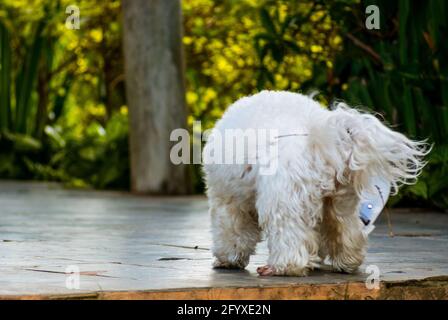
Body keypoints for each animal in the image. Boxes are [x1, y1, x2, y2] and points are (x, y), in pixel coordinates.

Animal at [202, 89, 428, 276]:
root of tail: (319, 139)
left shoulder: (229, 199)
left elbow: (232, 232)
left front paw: (228, 259)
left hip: (284, 200)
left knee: (289, 236)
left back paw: (282, 268)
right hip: (341, 202)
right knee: (346, 229)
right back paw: (347, 262)